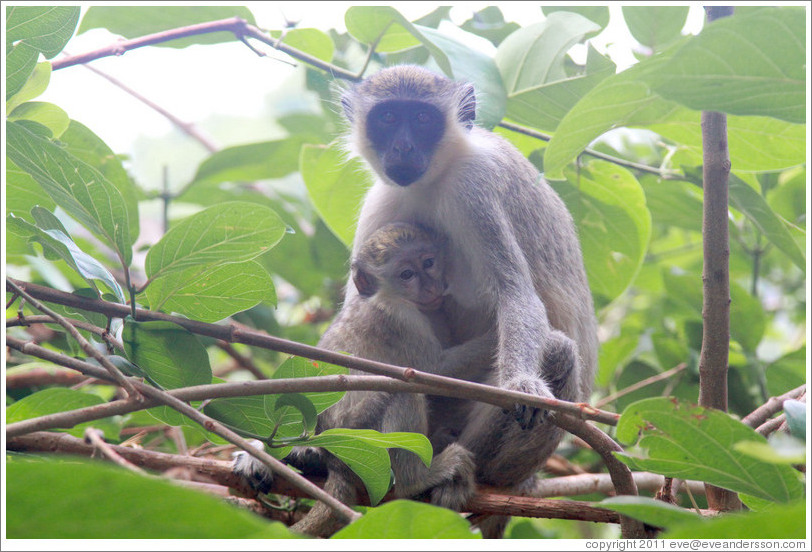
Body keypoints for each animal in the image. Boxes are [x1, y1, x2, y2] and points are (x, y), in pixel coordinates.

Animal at [232, 222, 492, 536]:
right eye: (407, 274)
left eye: (429, 263)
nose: (431, 286)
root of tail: (335, 461)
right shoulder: (400, 317)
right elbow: (434, 372)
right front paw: (506, 336)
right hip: (362, 438)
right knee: (401, 392)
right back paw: (416, 478)